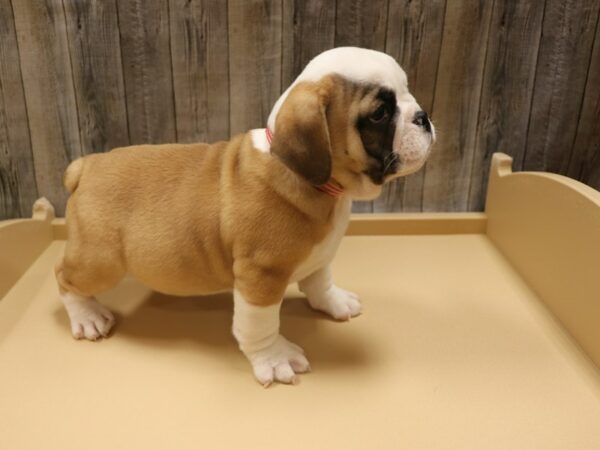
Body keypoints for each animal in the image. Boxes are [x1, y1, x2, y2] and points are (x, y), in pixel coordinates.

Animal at [55, 48, 432, 386]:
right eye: (380, 114)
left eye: (406, 91)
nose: (423, 116)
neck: (316, 183)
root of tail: (86, 165)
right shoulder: (260, 277)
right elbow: (260, 325)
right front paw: (274, 358)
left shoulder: (319, 255)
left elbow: (319, 280)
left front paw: (334, 301)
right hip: (100, 261)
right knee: (64, 277)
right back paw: (87, 316)